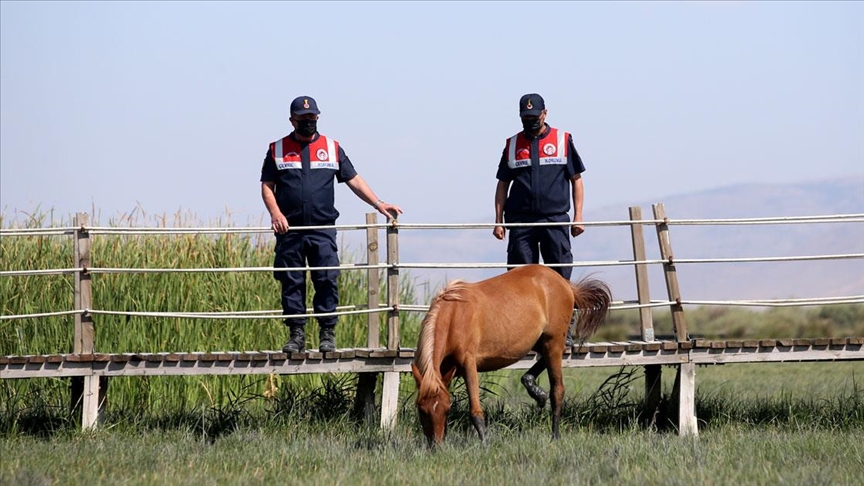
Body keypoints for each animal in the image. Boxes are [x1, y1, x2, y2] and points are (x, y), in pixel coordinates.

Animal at [410, 264, 608, 446]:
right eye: (421, 410)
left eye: (445, 409)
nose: (435, 446)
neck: (455, 315)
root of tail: (565, 284)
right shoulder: (445, 371)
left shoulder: (469, 364)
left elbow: (475, 411)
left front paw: (484, 445)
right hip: (540, 342)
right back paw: (535, 389)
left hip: (553, 342)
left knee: (557, 390)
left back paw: (555, 436)